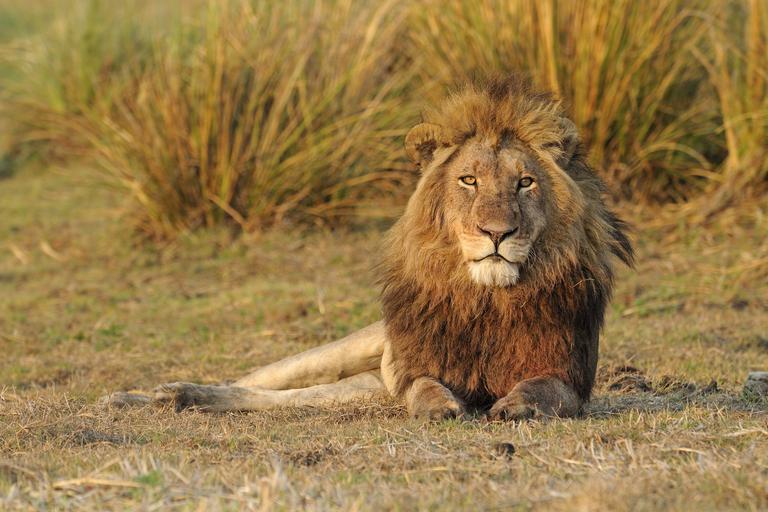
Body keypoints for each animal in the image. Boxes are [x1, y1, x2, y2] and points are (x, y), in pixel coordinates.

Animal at [105, 76, 633, 420]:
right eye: (469, 180)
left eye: (525, 182)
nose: (497, 233)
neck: (486, 299)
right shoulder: (412, 369)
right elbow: (423, 387)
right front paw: (440, 407)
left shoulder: (568, 372)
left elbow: (543, 390)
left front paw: (514, 405)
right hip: (346, 354)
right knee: (249, 381)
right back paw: (146, 396)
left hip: (364, 385)